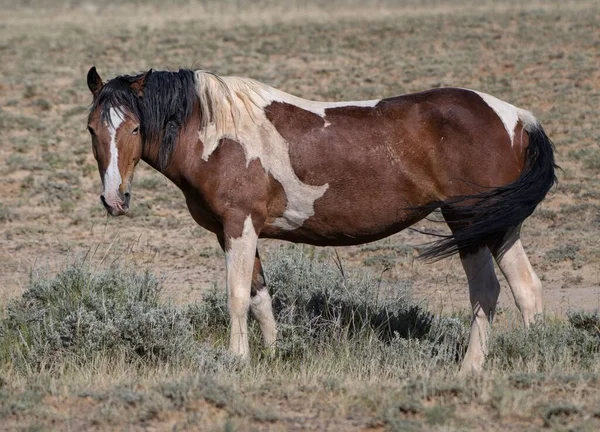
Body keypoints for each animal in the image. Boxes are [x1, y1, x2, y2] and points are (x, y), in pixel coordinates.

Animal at [86, 66, 556, 372]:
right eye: (92, 128)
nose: (114, 198)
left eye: (134, 128)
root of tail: (517, 118)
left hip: (469, 222)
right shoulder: (234, 232)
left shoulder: (239, 225)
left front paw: (237, 361)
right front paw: (273, 357)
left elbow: (236, 296)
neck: (219, 134)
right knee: (526, 290)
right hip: (499, 226)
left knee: (488, 292)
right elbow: (260, 296)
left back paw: (470, 370)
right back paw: (532, 361)